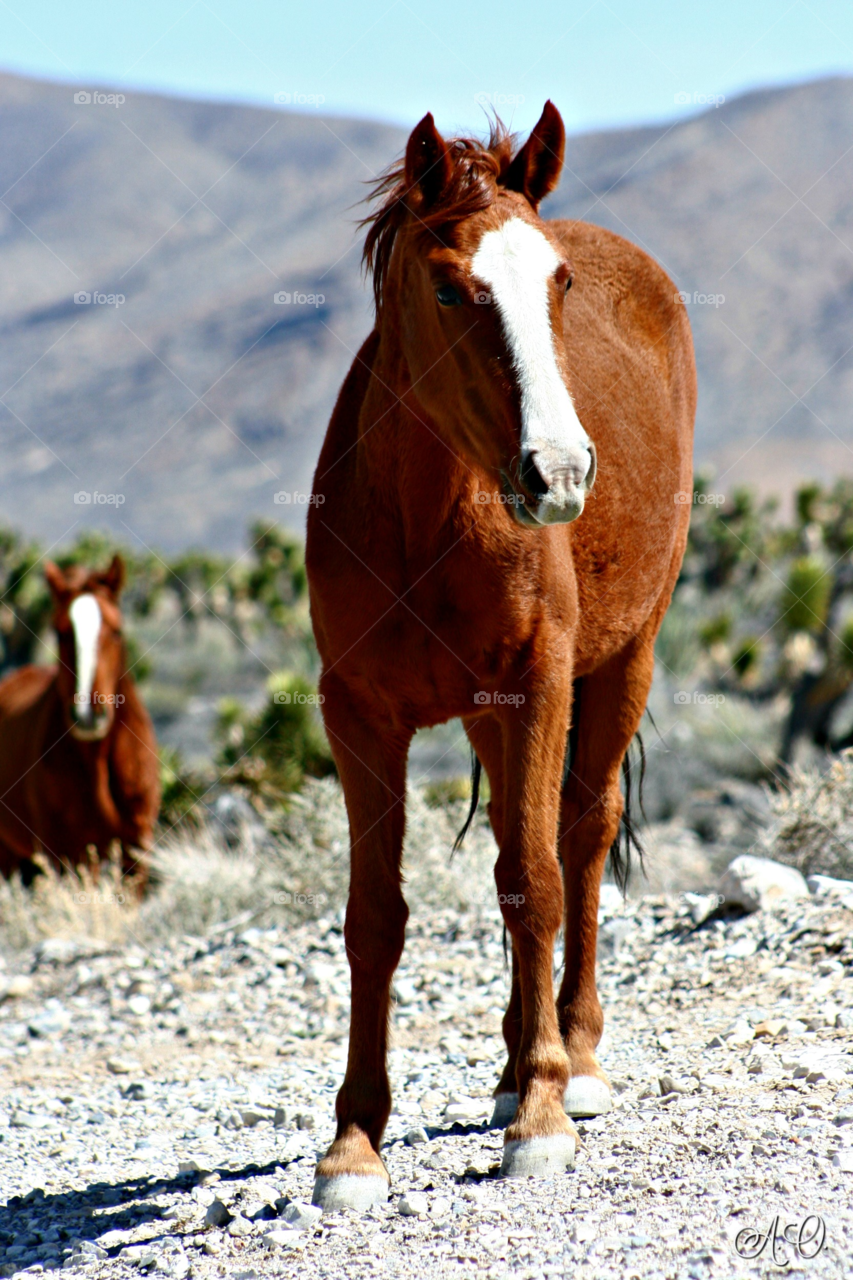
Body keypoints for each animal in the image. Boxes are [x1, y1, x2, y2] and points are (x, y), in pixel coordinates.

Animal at [306, 102, 691, 1208]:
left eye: (556, 284)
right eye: (448, 287)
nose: (556, 472)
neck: (422, 521)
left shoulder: (537, 685)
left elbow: (536, 878)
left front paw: (543, 1115)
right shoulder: (356, 714)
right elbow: (375, 915)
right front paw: (355, 1140)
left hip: (624, 660)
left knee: (583, 833)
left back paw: (572, 1056)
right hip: (482, 710)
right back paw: (517, 1059)